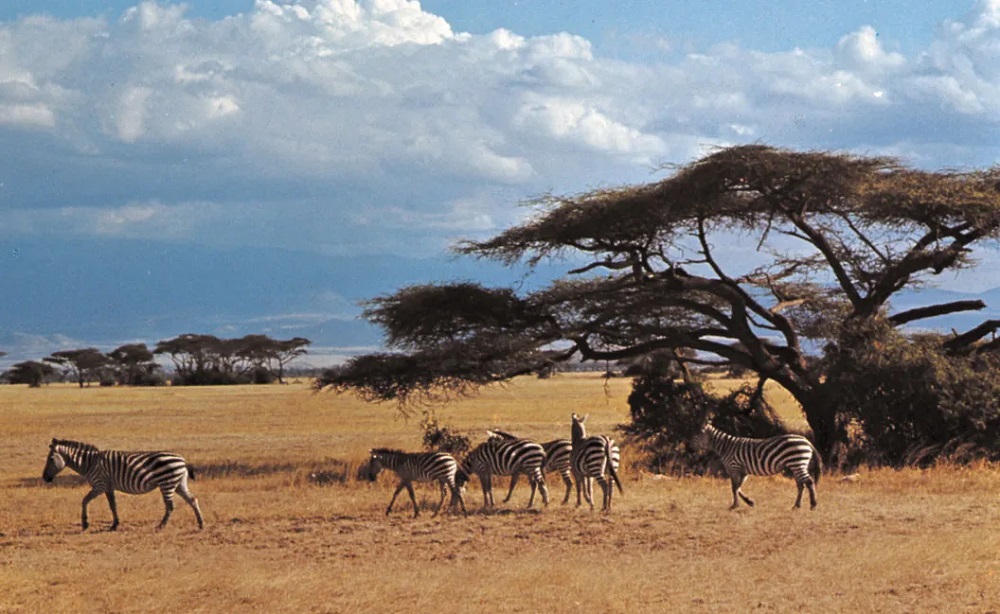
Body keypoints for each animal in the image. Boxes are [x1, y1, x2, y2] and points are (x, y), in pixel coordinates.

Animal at [43, 438, 205, 536]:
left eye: (50, 459)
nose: (45, 478)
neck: (90, 463)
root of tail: (182, 460)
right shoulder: (108, 487)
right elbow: (113, 505)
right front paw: (115, 525)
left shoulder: (99, 485)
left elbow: (85, 501)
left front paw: (85, 524)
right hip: (178, 483)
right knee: (193, 500)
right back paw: (201, 524)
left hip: (167, 483)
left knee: (170, 506)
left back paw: (161, 526)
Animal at [692, 424, 824, 510]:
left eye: (696, 436)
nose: (689, 447)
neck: (726, 448)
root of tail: (807, 441)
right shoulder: (743, 471)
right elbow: (738, 487)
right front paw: (749, 502)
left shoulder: (734, 468)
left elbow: (734, 488)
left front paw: (735, 505)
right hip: (796, 465)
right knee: (801, 485)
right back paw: (796, 506)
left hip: (797, 462)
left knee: (809, 481)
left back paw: (813, 505)